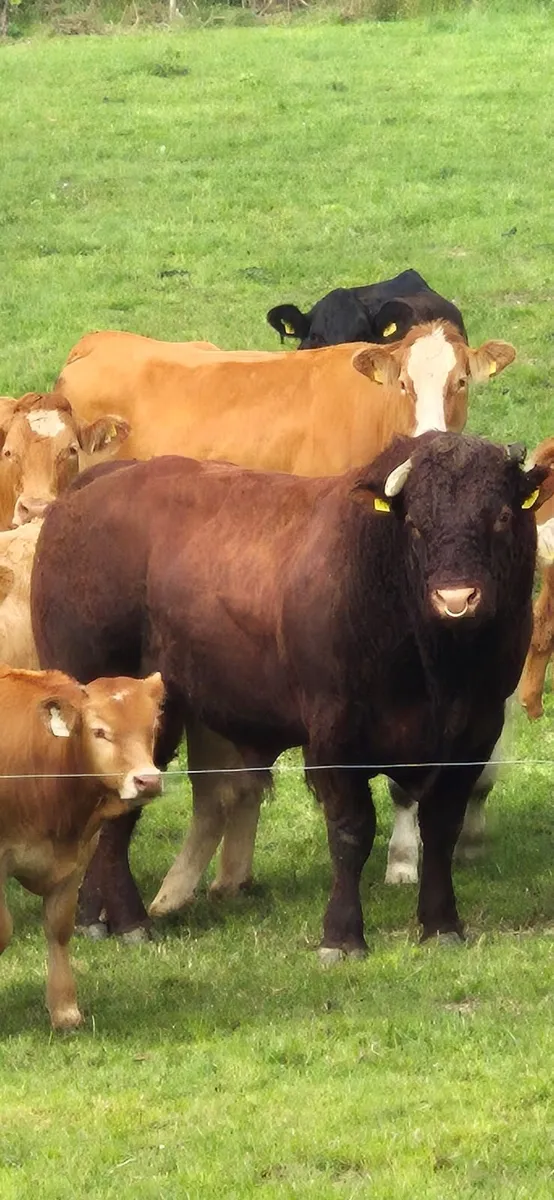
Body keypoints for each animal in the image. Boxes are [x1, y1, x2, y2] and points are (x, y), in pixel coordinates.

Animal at [0, 667, 164, 1030]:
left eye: (152, 729)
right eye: (99, 731)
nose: (148, 780)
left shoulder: (76, 861)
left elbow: (59, 929)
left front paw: (64, 1010)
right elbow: (3, 930)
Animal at [31, 436, 553, 956]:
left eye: (500, 516)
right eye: (417, 525)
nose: (456, 599)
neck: (436, 668)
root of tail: (91, 486)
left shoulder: (475, 732)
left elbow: (442, 826)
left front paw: (442, 924)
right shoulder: (334, 734)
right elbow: (351, 831)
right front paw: (342, 937)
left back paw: (97, 917)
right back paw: (128, 919)